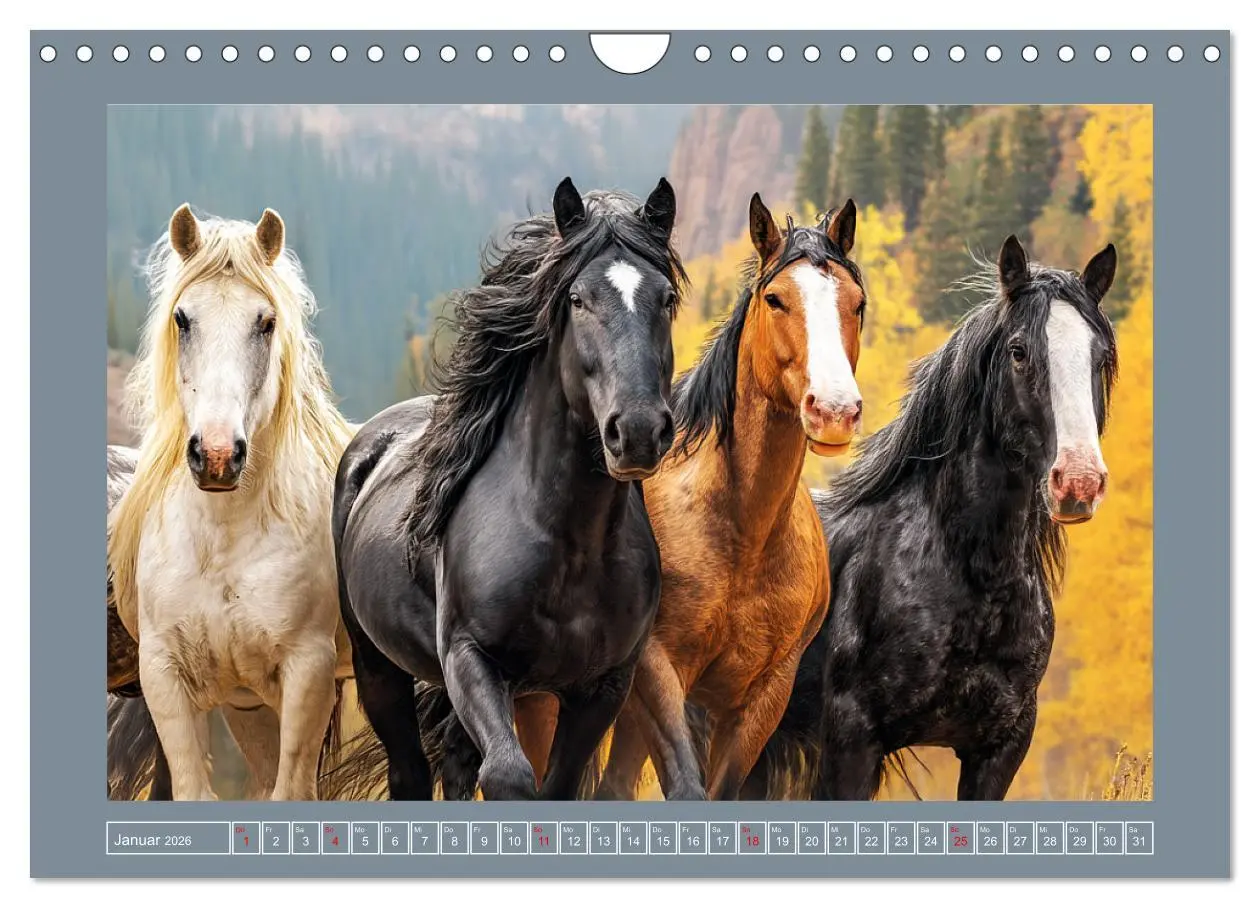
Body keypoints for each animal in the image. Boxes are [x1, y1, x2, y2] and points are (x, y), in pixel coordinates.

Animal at [107, 204, 354, 800]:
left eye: (265, 322)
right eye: (182, 319)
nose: (218, 456)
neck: (224, 541)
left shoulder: (308, 673)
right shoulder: (166, 677)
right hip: (249, 708)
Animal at [324, 177, 683, 801]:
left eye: (666, 299)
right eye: (577, 299)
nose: (638, 430)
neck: (568, 543)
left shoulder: (602, 689)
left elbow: (556, 784)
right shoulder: (471, 660)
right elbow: (509, 776)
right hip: (378, 668)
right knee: (412, 770)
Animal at [509, 195, 867, 800]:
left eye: (857, 303)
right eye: (775, 298)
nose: (834, 410)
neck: (741, 535)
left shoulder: (760, 698)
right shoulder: (656, 673)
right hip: (546, 700)